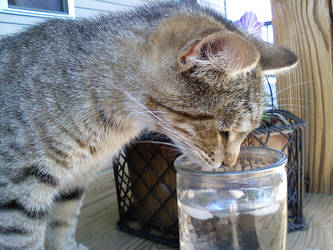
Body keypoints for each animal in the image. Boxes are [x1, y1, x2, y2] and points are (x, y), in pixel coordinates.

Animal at [0, 0, 296, 249]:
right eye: (223, 132)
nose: (230, 164)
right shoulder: (19, 188)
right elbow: (25, 239)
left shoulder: (76, 180)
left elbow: (63, 222)